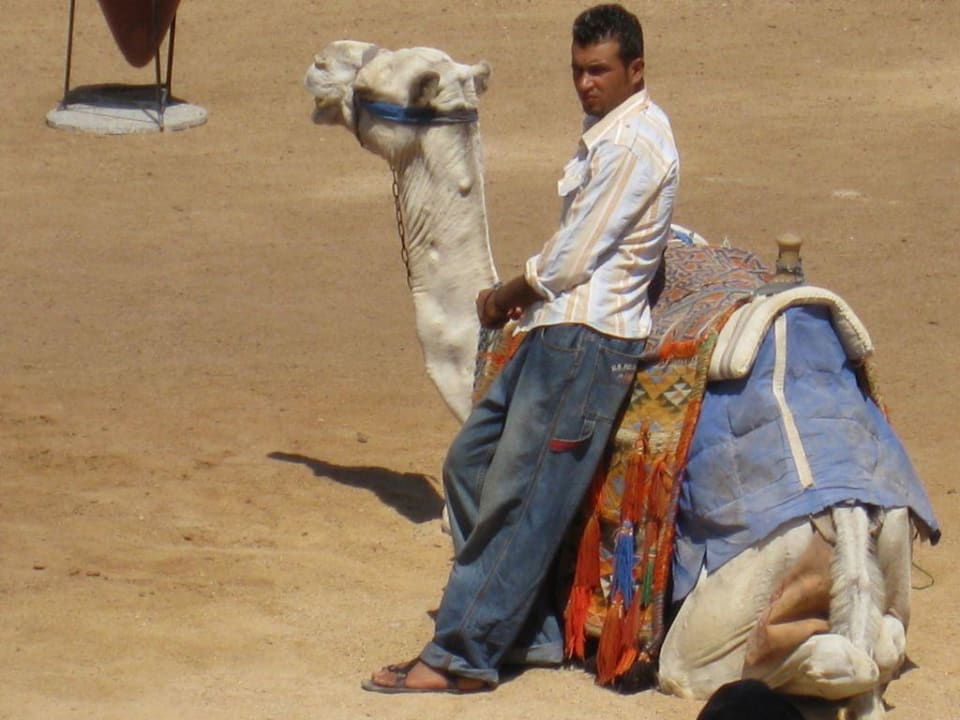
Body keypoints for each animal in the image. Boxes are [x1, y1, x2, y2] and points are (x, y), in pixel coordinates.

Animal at [303, 41, 939, 718]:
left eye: (373, 76)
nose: (320, 63)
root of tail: (847, 509)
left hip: (732, 600)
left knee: (774, 662)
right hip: (887, 554)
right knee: (882, 643)